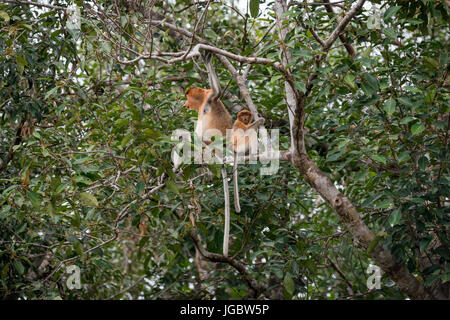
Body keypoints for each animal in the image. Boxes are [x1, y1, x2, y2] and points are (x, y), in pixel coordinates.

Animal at [182, 53, 234, 256]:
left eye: (187, 97)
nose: (184, 104)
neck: (203, 101)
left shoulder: (211, 96)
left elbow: (218, 89)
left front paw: (206, 59)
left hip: (211, 150)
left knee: (202, 142)